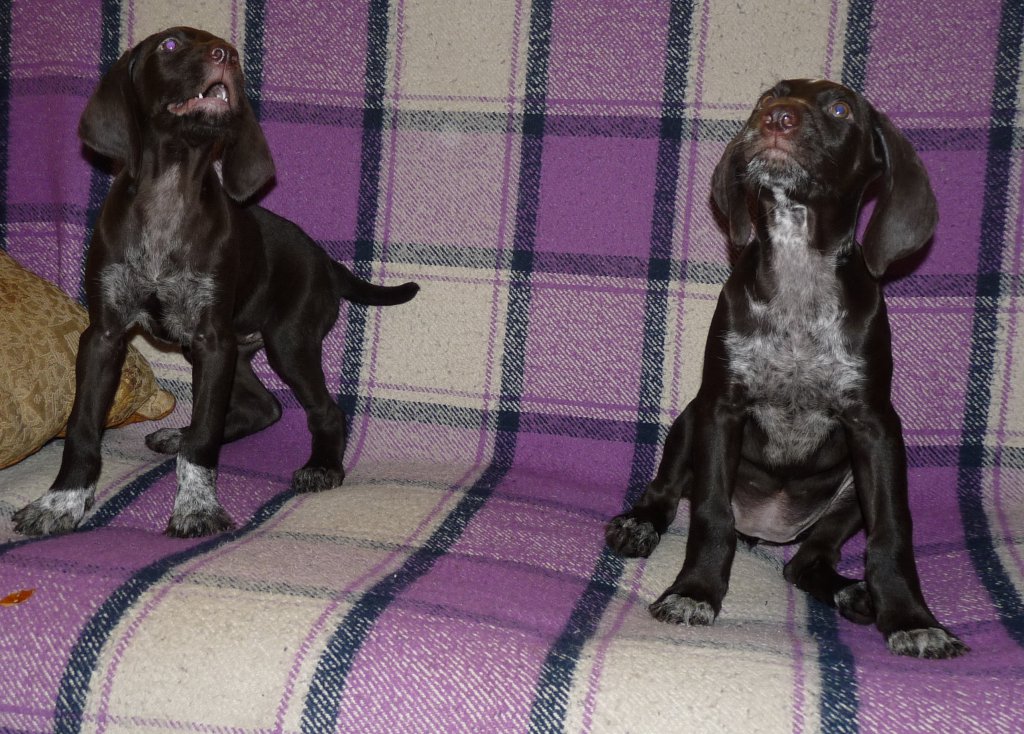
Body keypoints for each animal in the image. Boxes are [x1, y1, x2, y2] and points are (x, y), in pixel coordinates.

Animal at [13, 27, 418, 538]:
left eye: (227, 47)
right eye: (169, 45)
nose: (228, 54)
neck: (169, 196)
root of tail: (326, 261)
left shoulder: (211, 340)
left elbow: (204, 438)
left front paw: (196, 506)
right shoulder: (105, 336)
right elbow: (83, 427)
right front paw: (61, 500)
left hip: (286, 340)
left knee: (322, 409)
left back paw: (322, 465)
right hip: (229, 349)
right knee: (265, 406)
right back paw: (177, 432)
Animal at [605, 79, 967, 658]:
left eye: (840, 109)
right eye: (766, 97)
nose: (775, 117)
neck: (799, 273)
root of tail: (766, 530)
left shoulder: (875, 427)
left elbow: (891, 530)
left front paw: (911, 618)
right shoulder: (721, 409)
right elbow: (710, 514)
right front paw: (695, 591)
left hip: (846, 495)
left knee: (805, 562)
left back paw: (853, 593)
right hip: (689, 420)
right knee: (666, 490)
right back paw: (639, 524)